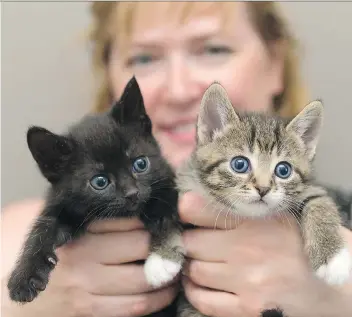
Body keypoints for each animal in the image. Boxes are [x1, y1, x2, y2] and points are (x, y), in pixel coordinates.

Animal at [7, 76, 184, 304]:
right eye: (100, 182)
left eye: (141, 164)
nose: (132, 193)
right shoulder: (63, 206)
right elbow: (43, 227)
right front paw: (24, 275)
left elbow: (166, 195)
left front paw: (161, 255)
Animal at [177, 82, 352, 316]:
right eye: (239, 164)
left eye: (283, 170)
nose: (263, 188)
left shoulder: (310, 190)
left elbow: (319, 201)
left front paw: (332, 260)